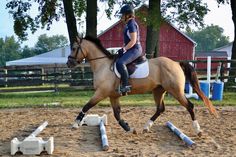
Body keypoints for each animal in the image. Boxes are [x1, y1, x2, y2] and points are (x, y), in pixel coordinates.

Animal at [66, 35, 218, 136]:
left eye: (74, 48)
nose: (69, 63)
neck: (102, 65)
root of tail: (176, 63)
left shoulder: (101, 93)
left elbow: (86, 106)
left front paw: (75, 123)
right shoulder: (113, 96)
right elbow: (117, 114)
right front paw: (129, 128)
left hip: (176, 91)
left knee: (189, 106)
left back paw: (198, 130)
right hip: (158, 91)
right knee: (160, 109)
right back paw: (146, 127)